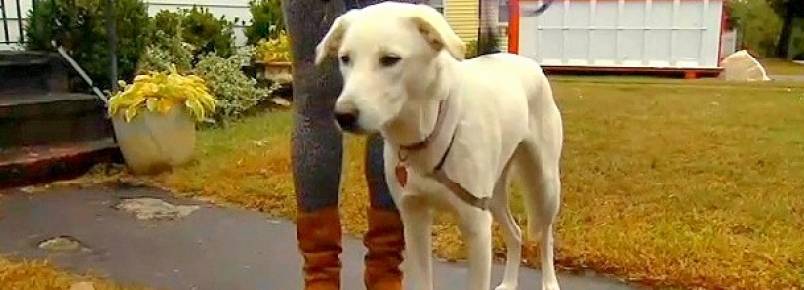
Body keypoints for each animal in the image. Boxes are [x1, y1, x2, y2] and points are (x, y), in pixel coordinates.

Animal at [310, 2, 564, 290]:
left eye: (390, 59)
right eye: (345, 59)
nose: (343, 115)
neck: (428, 129)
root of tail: (526, 62)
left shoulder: (476, 226)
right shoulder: (414, 219)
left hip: (545, 186)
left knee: (546, 235)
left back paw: (549, 282)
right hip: (494, 196)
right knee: (516, 233)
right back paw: (509, 283)